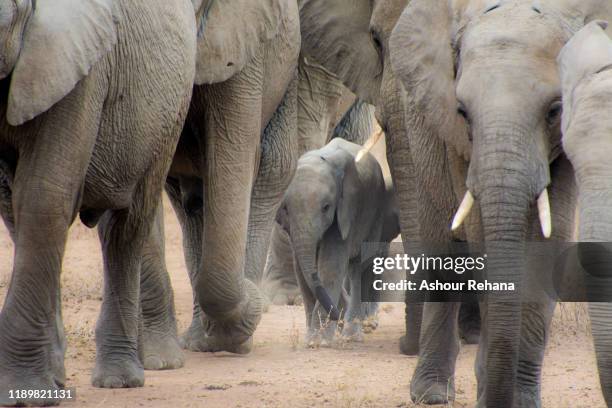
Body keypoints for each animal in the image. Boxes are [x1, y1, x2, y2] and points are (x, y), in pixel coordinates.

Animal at [0, 0, 196, 404]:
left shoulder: (78, 70)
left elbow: (44, 195)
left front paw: (25, 395)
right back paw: (59, 377)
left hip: (167, 113)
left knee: (125, 228)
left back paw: (119, 379)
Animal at [276, 138, 400, 344]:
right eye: (285, 208)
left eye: (326, 207)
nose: (336, 316)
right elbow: (301, 271)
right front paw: (312, 339)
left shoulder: (347, 211)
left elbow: (330, 266)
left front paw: (319, 341)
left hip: (375, 214)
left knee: (360, 268)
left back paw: (353, 335)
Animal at [390, 0, 612, 404]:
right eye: (462, 112)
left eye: (555, 109)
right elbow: (479, 234)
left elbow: (549, 239)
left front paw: (521, 400)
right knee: (441, 240)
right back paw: (431, 393)